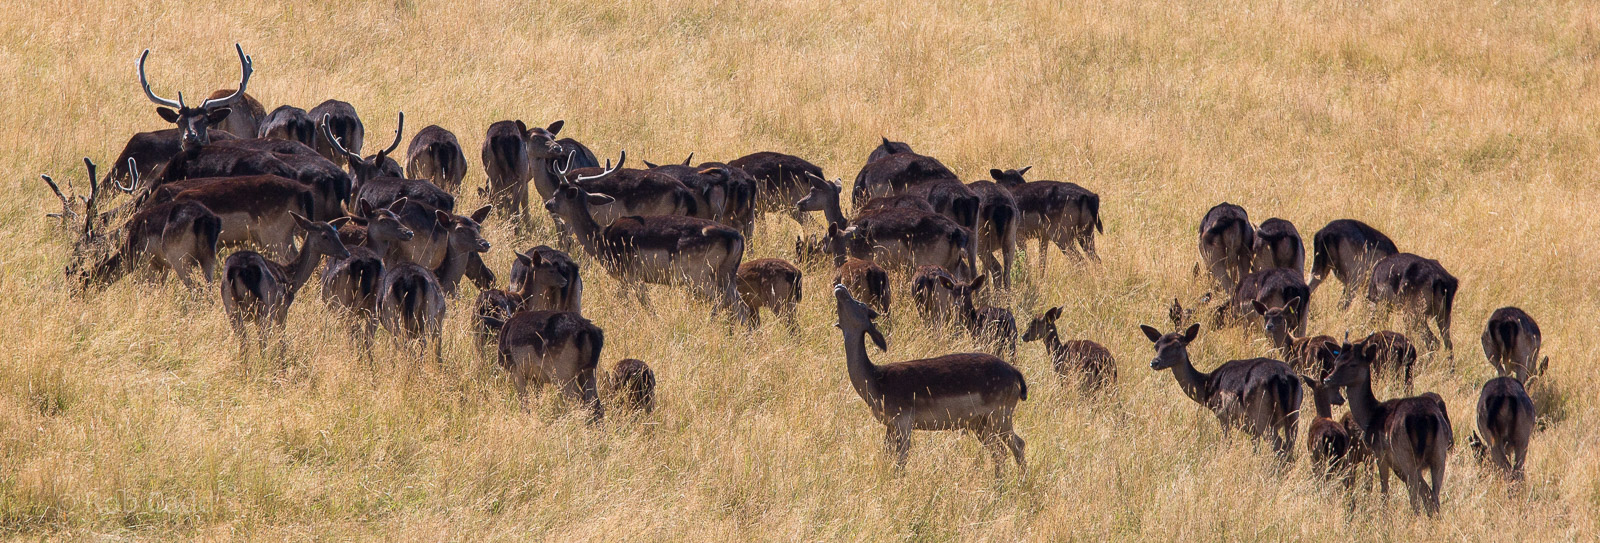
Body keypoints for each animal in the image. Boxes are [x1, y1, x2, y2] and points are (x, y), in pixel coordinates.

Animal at [220, 213, 350, 355]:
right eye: (324, 236)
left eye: (337, 233)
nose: (346, 253)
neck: (290, 278)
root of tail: (241, 269)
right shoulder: (282, 308)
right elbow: (282, 340)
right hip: (266, 305)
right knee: (262, 341)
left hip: (230, 304)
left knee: (244, 341)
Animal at [542, 180, 746, 319]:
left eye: (558, 194)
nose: (547, 204)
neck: (601, 241)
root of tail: (737, 238)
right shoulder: (626, 277)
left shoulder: (630, 273)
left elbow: (644, 302)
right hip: (726, 274)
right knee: (739, 305)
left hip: (698, 273)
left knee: (720, 299)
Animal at [832, 284, 1028, 477]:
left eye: (861, 304)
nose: (840, 287)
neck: (876, 385)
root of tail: (1016, 374)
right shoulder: (890, 424)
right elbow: (887, 454)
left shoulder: (904, 419)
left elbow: (901, 461)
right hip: (980, 424)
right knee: (1002, 449)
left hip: (1000, 413)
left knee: (1014, 446)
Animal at [1139, 323, 1301, 460]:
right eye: (1156, 345)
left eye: (1177, 345)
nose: (1155, 362)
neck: (1208, 389)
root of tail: (1283, 378)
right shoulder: (1251, 429)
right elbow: (1255, 447)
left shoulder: (1222, 414)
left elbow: (1227, 442)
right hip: (1294, 415)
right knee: (1289, 447)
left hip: (1262, 414)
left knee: (1279, 447)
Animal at [1324, 339, 1453, 515]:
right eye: (1337, 361)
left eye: (1353, 364)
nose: (1327, 380)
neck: (1370, 416)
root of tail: (1426, 419)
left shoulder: (1379, 453)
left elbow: (1384, 490)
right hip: (1439, 453)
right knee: (1433, 494)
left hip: (1406, 453)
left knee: (1417, 495)